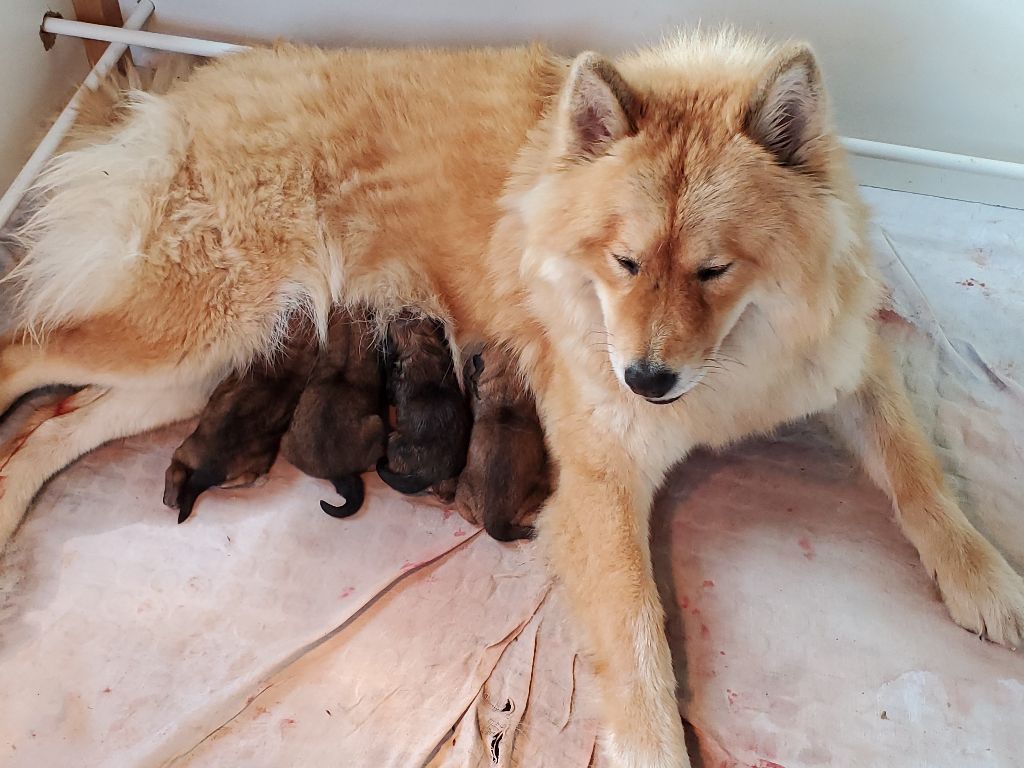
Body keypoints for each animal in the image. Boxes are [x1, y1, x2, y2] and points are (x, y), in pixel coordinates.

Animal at [163, 317, 317, 524]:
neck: (292, 359)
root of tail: (209, 471)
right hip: (258, 463)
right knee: (245, 477)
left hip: (183, 451)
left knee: (175, 471)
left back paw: (171, 498)